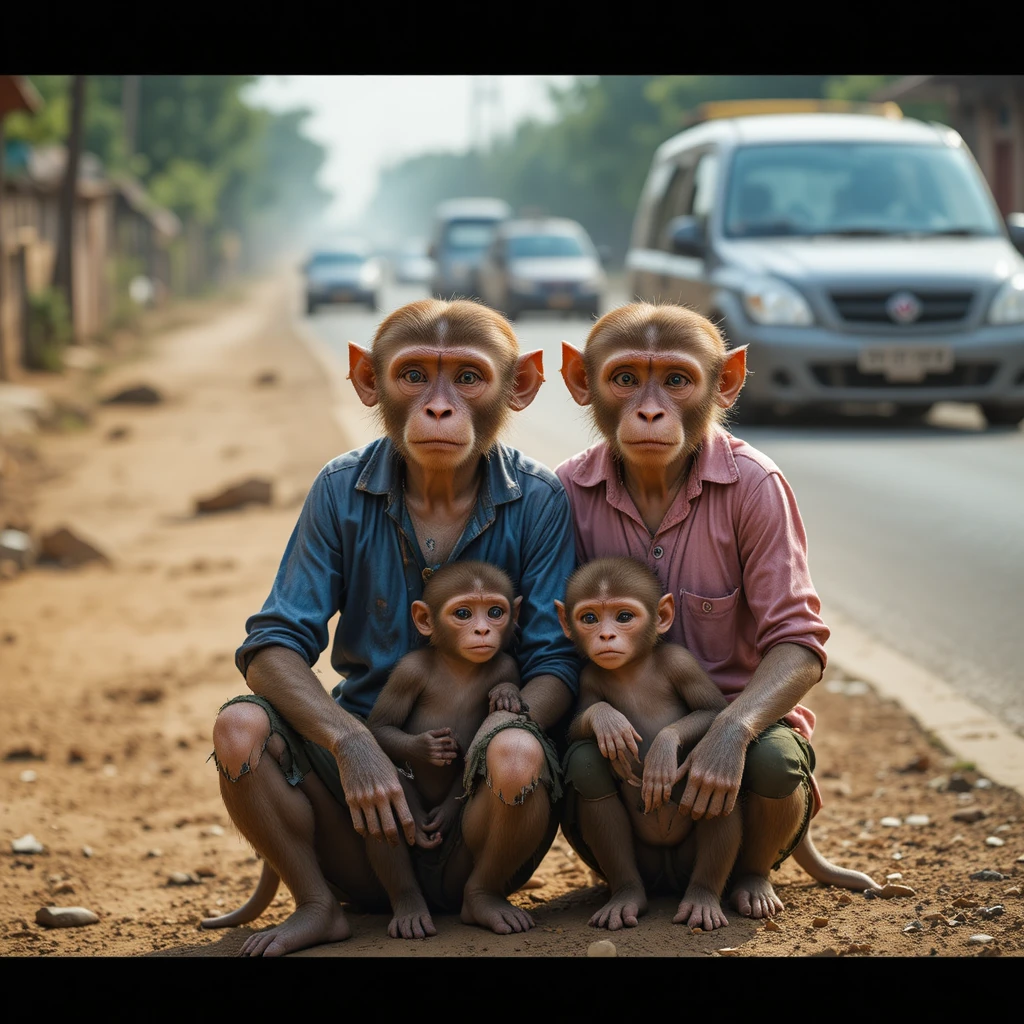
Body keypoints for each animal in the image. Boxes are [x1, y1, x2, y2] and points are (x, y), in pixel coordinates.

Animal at [362, 560, 524, 939]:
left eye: (495, 612)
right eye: (462, 613)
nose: (482, 630)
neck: (458, 665)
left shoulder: (507, 664)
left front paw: (506, 694)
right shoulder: (409, 670)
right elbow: (380, 728)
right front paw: (429, 748)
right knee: (385, 802)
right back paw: (410, 909)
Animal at [557, 556, 742, 931]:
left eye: (624, 617)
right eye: (589, 618)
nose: (606, 635)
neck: (632, 668)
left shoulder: (680, 661)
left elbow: (711, 710)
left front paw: (662, 752)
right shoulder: (588, 677)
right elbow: (579, 725)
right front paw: (607, 722)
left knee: (714, 785)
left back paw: (702, 900)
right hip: (648, 863)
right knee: (589, 761)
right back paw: (626, 896)